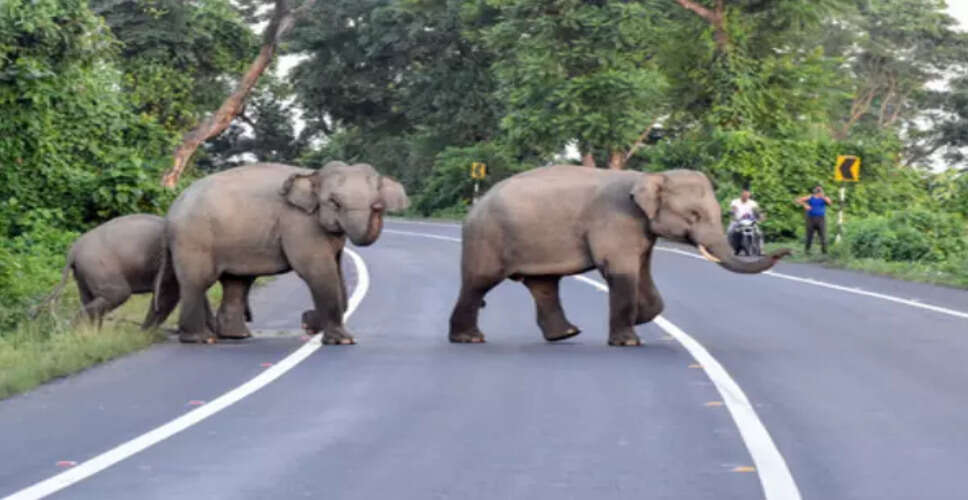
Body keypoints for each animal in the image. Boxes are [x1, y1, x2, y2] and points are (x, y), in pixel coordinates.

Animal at [157, 161, 408, 344]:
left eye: (376, 201)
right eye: (334, 202)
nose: (378, 207)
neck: (313, 175)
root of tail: (171, 211)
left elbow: (336, 274)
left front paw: (311, 322)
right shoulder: (299, 223)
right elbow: (317, 271)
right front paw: (341, 340)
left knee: (236, 282)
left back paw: (236, 336)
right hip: (194, 238)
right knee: (197, 282)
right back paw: (199, 339)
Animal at [448, 165, 792, 346]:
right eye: (694, 215)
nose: (786, 251)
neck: (648, 177)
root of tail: (476, 205)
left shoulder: (641, 231)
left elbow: (642, 272)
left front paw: (640, 318)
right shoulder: (616, 221)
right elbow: (620, 271)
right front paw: (629, 340)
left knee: (544, 284)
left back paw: (565, 334)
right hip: (487, 237)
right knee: (479, 282)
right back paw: (469, 339)